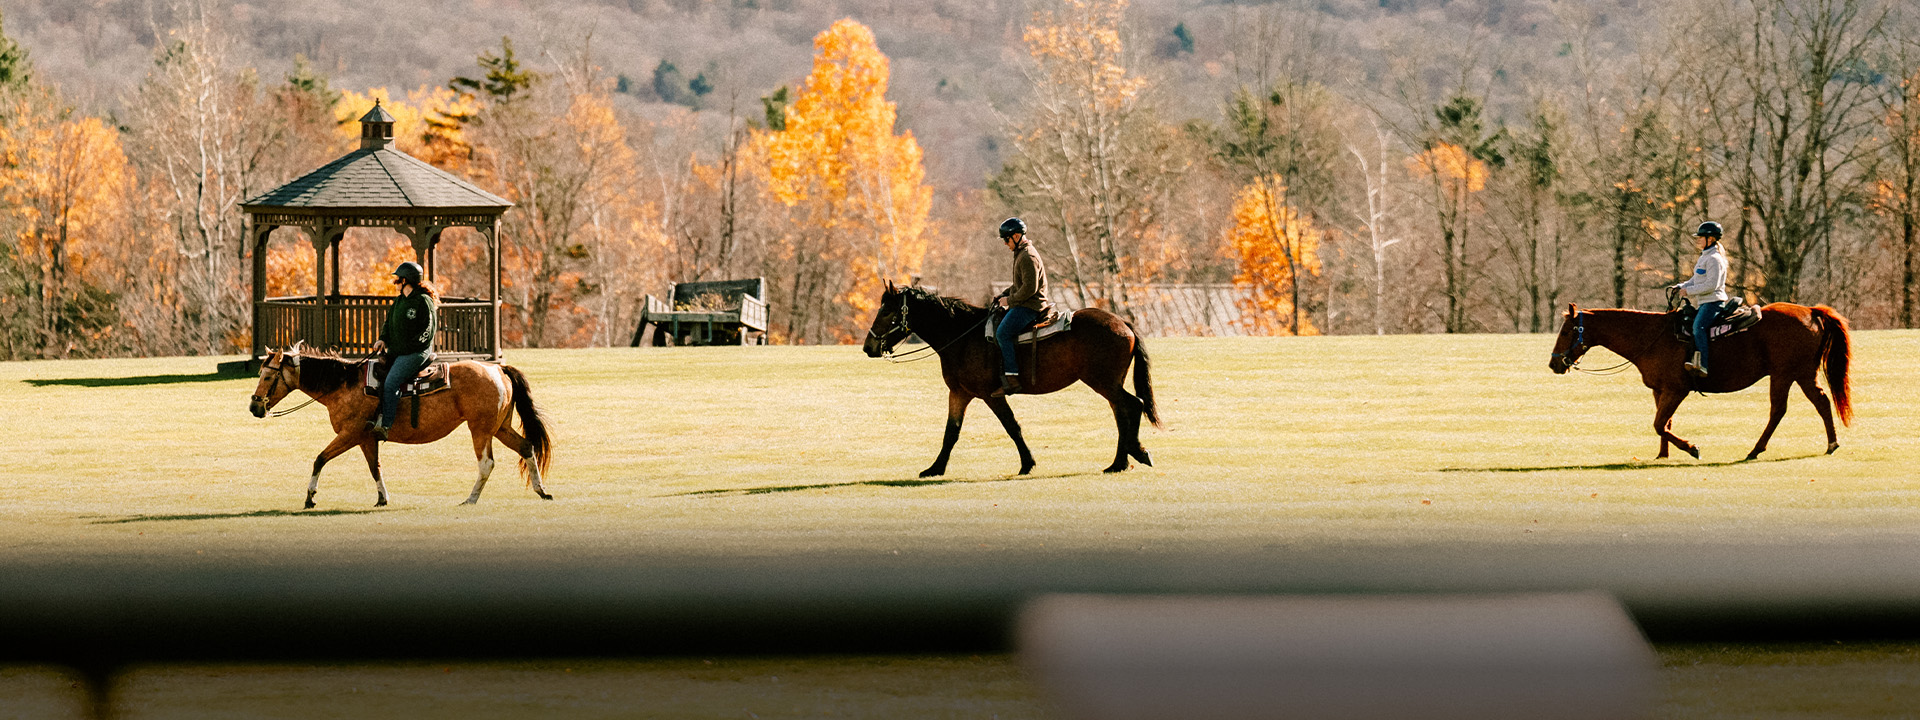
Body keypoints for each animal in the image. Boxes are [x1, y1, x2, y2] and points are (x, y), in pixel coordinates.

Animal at [248, 342, 554, 508]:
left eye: (267, 376)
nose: (254, 406)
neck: (343, 383)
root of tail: (498, 368)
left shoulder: (350, 433)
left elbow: (320, 459)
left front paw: (310, 497)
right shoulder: (366, 438)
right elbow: (375, 468)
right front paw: (382, 498)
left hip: (480, 429)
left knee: (486, 463)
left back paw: (470, 499)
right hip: (499, 428)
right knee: (526, 447)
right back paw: (541, 491)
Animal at [862, 282, 1161, 476]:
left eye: (886, 311)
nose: (868, 346)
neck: (962, 336)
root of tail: (1123, 323)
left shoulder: (990, 395)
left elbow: (1011, 426)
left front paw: (1027, 463)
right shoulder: (959, 393)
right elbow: (951, 432)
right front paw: (935, 468)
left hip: (1104, 383)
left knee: (1133, 406)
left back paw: (1135, 453)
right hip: (1109, 385)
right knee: (1122, 413)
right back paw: (1119, 462)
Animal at [1547, 302, 1852, 460]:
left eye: (1566, 331)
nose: (1553, 363)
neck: (1650, 336)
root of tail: (1811, 311)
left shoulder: (1676, 390)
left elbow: (1659, 424)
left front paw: (1691, 448)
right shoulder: (1661, 390)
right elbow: (1664, 423)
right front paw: (1663, 455)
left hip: (1785, 375)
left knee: (1780, 410)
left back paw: (1757, 449)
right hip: (1801, 374)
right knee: (1821, 402)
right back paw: (1830, 444)